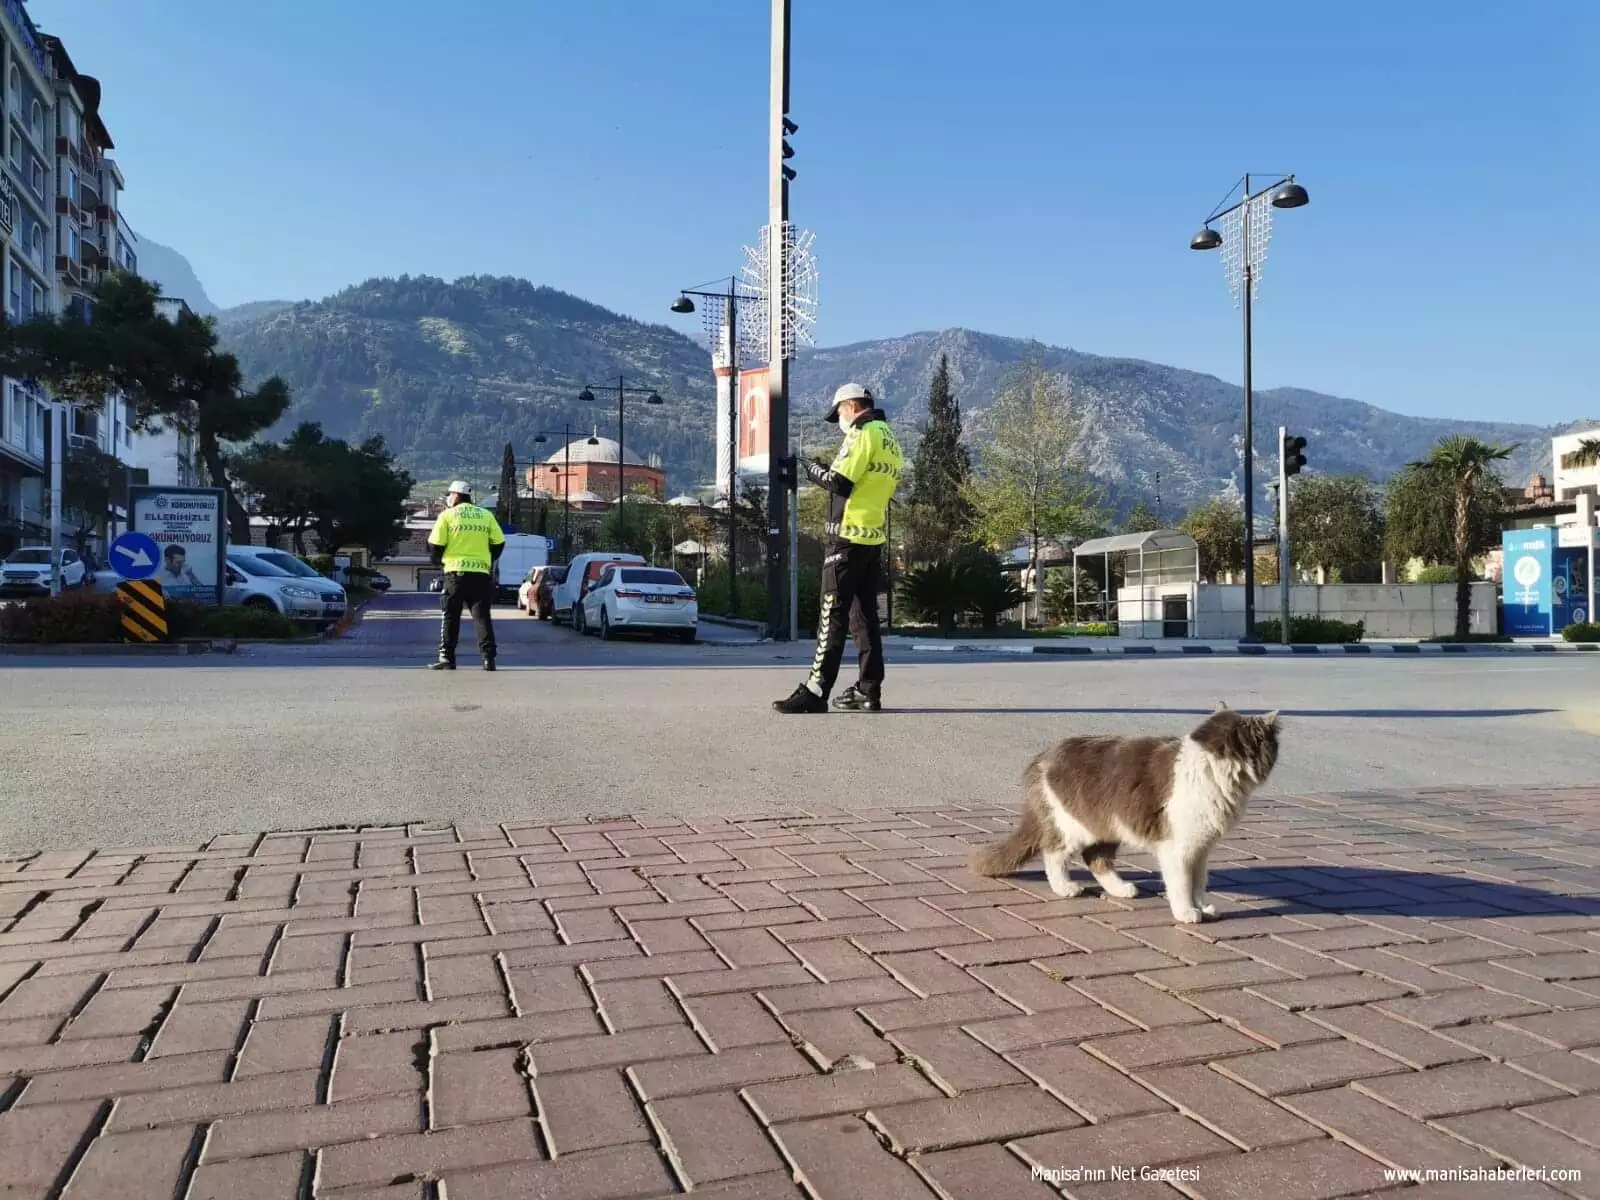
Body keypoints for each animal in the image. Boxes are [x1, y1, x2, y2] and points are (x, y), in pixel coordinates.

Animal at [966, 710, 1280, 928]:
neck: (1215, 773)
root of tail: (1045, 756)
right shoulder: (1177, 848)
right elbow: (1181, 883)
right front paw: (1186, 912)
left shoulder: (1201, 847)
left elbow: (1199, 882)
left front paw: (1203, 908)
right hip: (1075, 823)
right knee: (1054, 853)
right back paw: (1065, 887)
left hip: (1106, 826)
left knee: (1096, 858)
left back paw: (1120, 889)